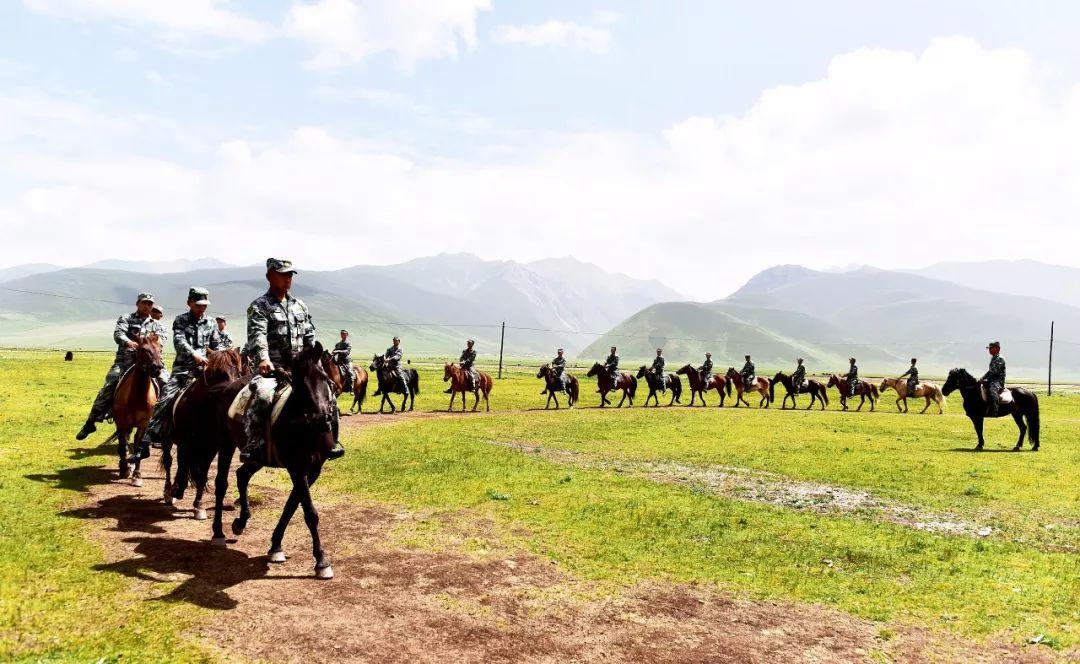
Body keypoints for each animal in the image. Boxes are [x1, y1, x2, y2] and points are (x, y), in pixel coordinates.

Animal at [106, 334, 162, 485]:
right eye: (143, 349)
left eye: (160, 348)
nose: (157, 367)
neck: (137, 397)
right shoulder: (121, 423)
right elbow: (123, 446)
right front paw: (124, 469)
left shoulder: (143, 425)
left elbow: (138, 447)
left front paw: (137, 475)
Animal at [164, 347, 245, 520]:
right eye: (216, 373)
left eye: (238, 371)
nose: (230, 393)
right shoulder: (186, 442)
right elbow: (183, 464)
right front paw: (177, 490)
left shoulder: (211, 447)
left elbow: (203, 472)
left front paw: (199, 505)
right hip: (168, 440)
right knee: (169, 462)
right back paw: (169, 492)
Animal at [210, 345, 341, 578]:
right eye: (300, 385)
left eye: (325, 379)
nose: (321, 419)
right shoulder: (297, 467)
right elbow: (309, 513)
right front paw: (321, 561)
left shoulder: (313, 470)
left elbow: (291, 506)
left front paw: (275, 547)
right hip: (226, 444)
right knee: (221, 483)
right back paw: (218, 533)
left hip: (258, 457)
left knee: (242, 475)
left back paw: (241, 521)